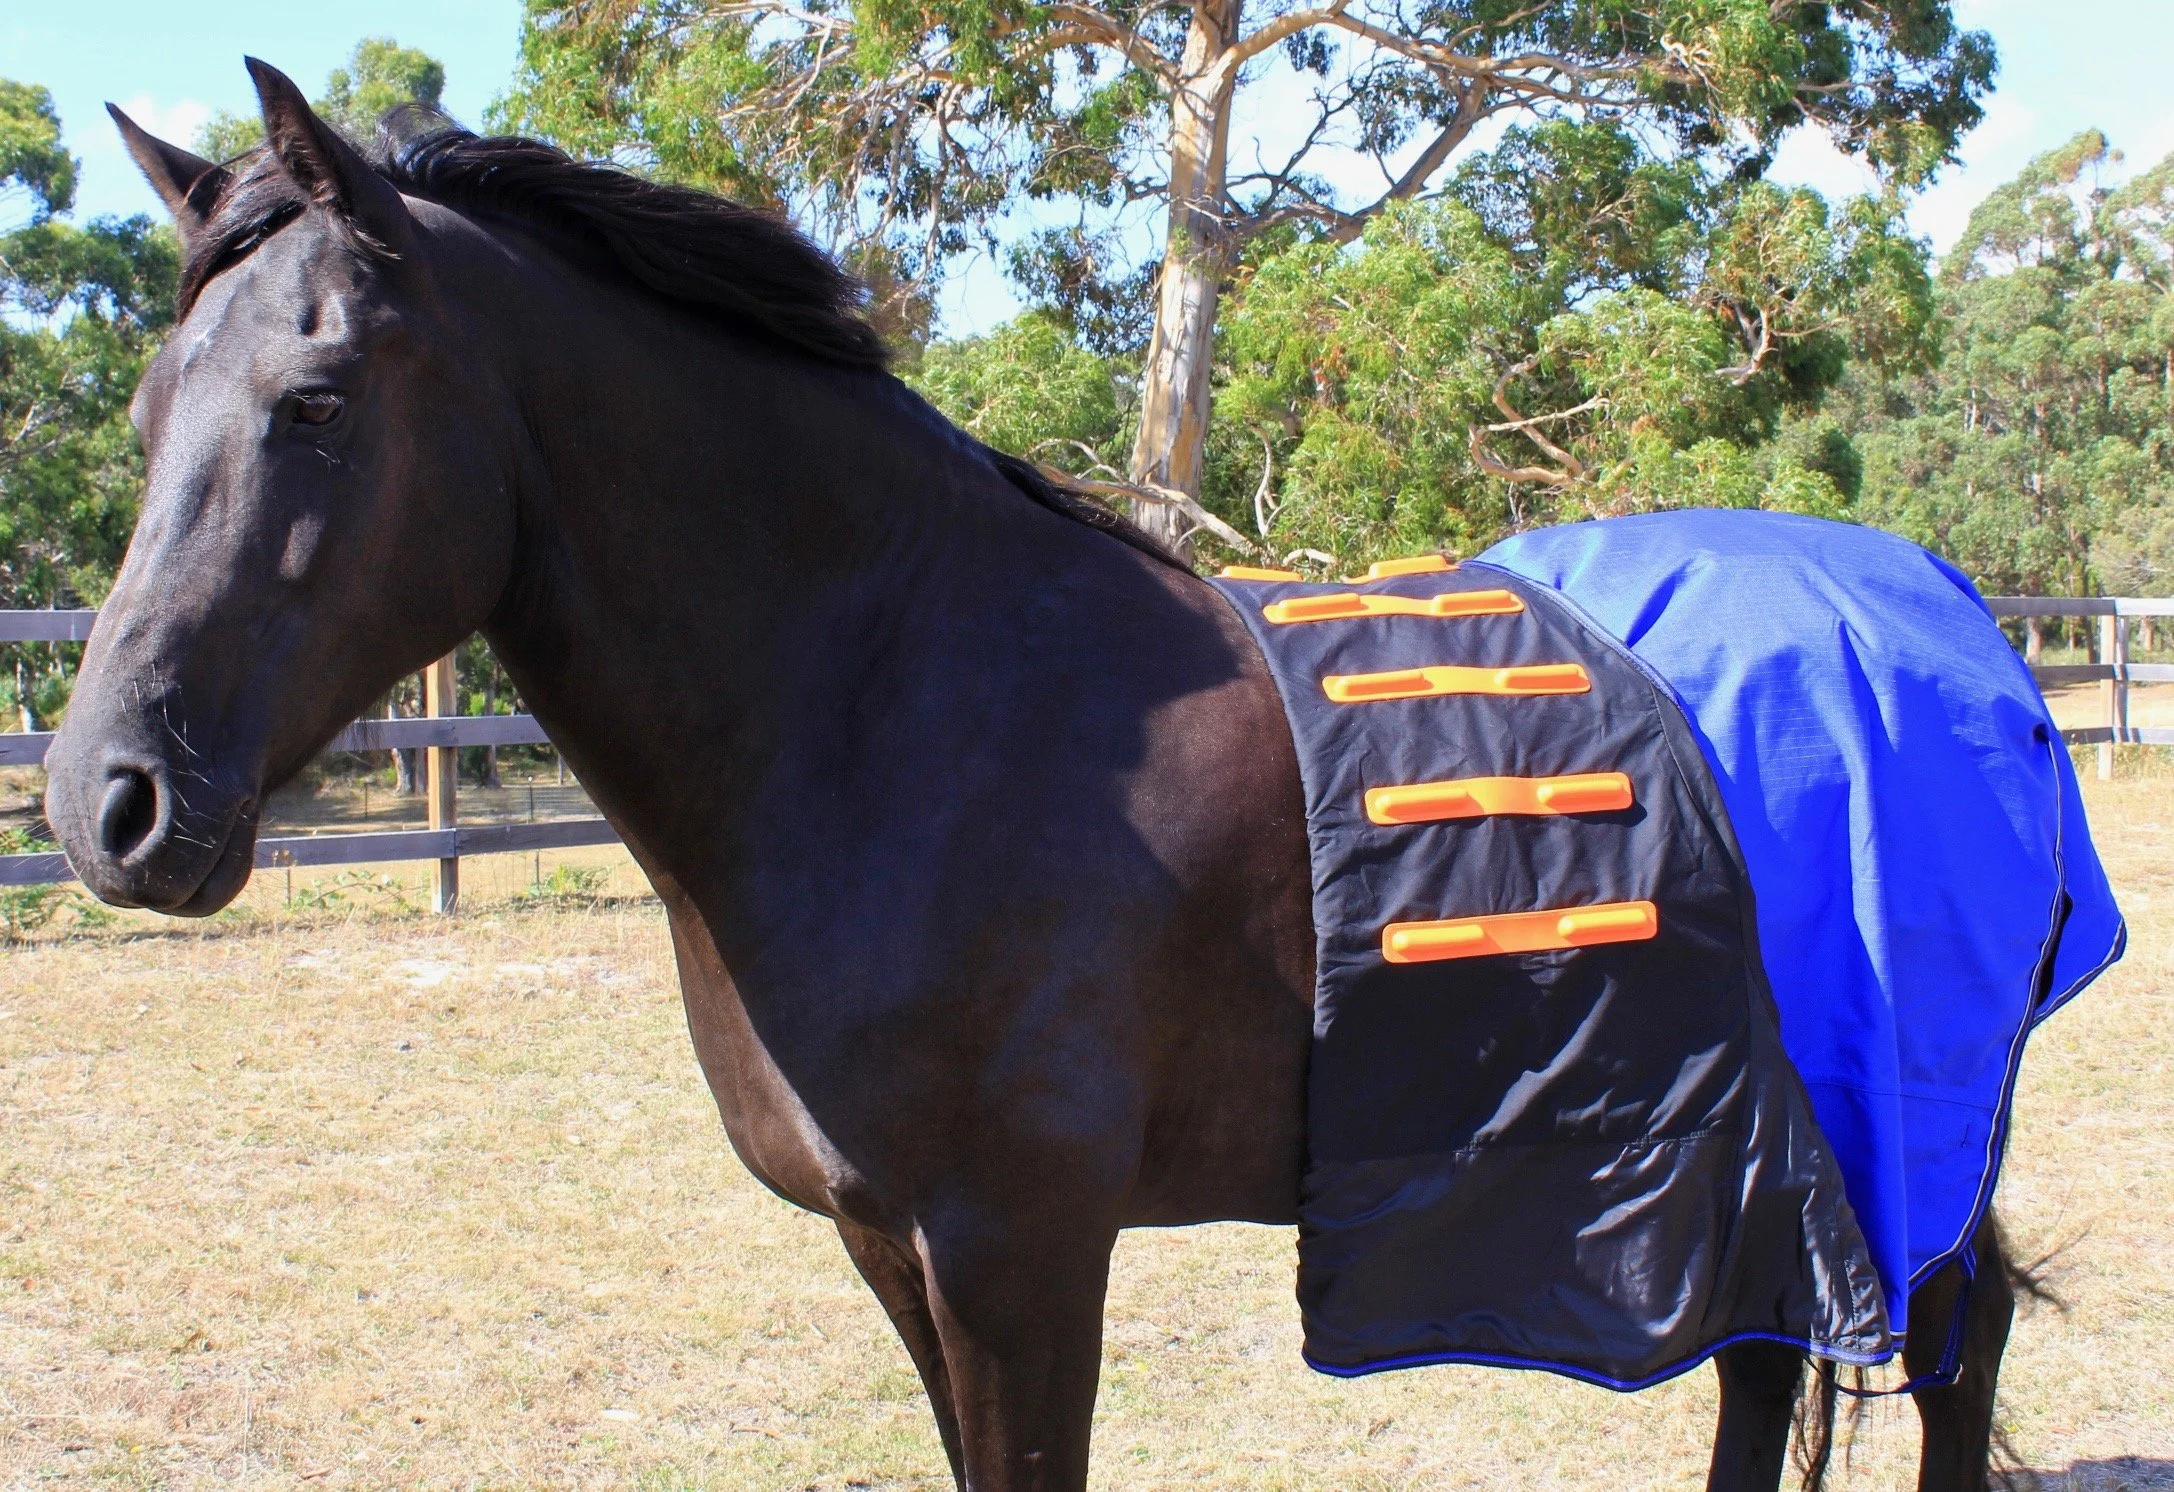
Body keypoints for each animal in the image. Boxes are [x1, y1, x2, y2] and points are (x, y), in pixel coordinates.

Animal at [44, 60, 2026, 1490]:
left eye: (313, 404)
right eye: (142, 416)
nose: (104, 804)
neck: (895, 703)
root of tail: (1947, 620)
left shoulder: (1019, 1251)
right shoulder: (894, 1250)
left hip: (1892, 1117)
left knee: (1946, 1350)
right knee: (1778, 1364)